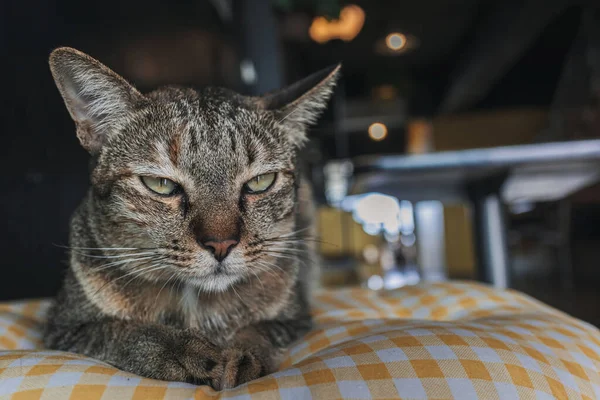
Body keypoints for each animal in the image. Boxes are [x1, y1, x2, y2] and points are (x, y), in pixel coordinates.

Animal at [43, 45, 338, 390]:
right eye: (161, 184)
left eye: (260, 182)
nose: (221, 244)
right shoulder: (65, 328)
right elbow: (123, 332)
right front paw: (183, 350)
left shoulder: (294, 318)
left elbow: (259, 330)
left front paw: (245, 355)